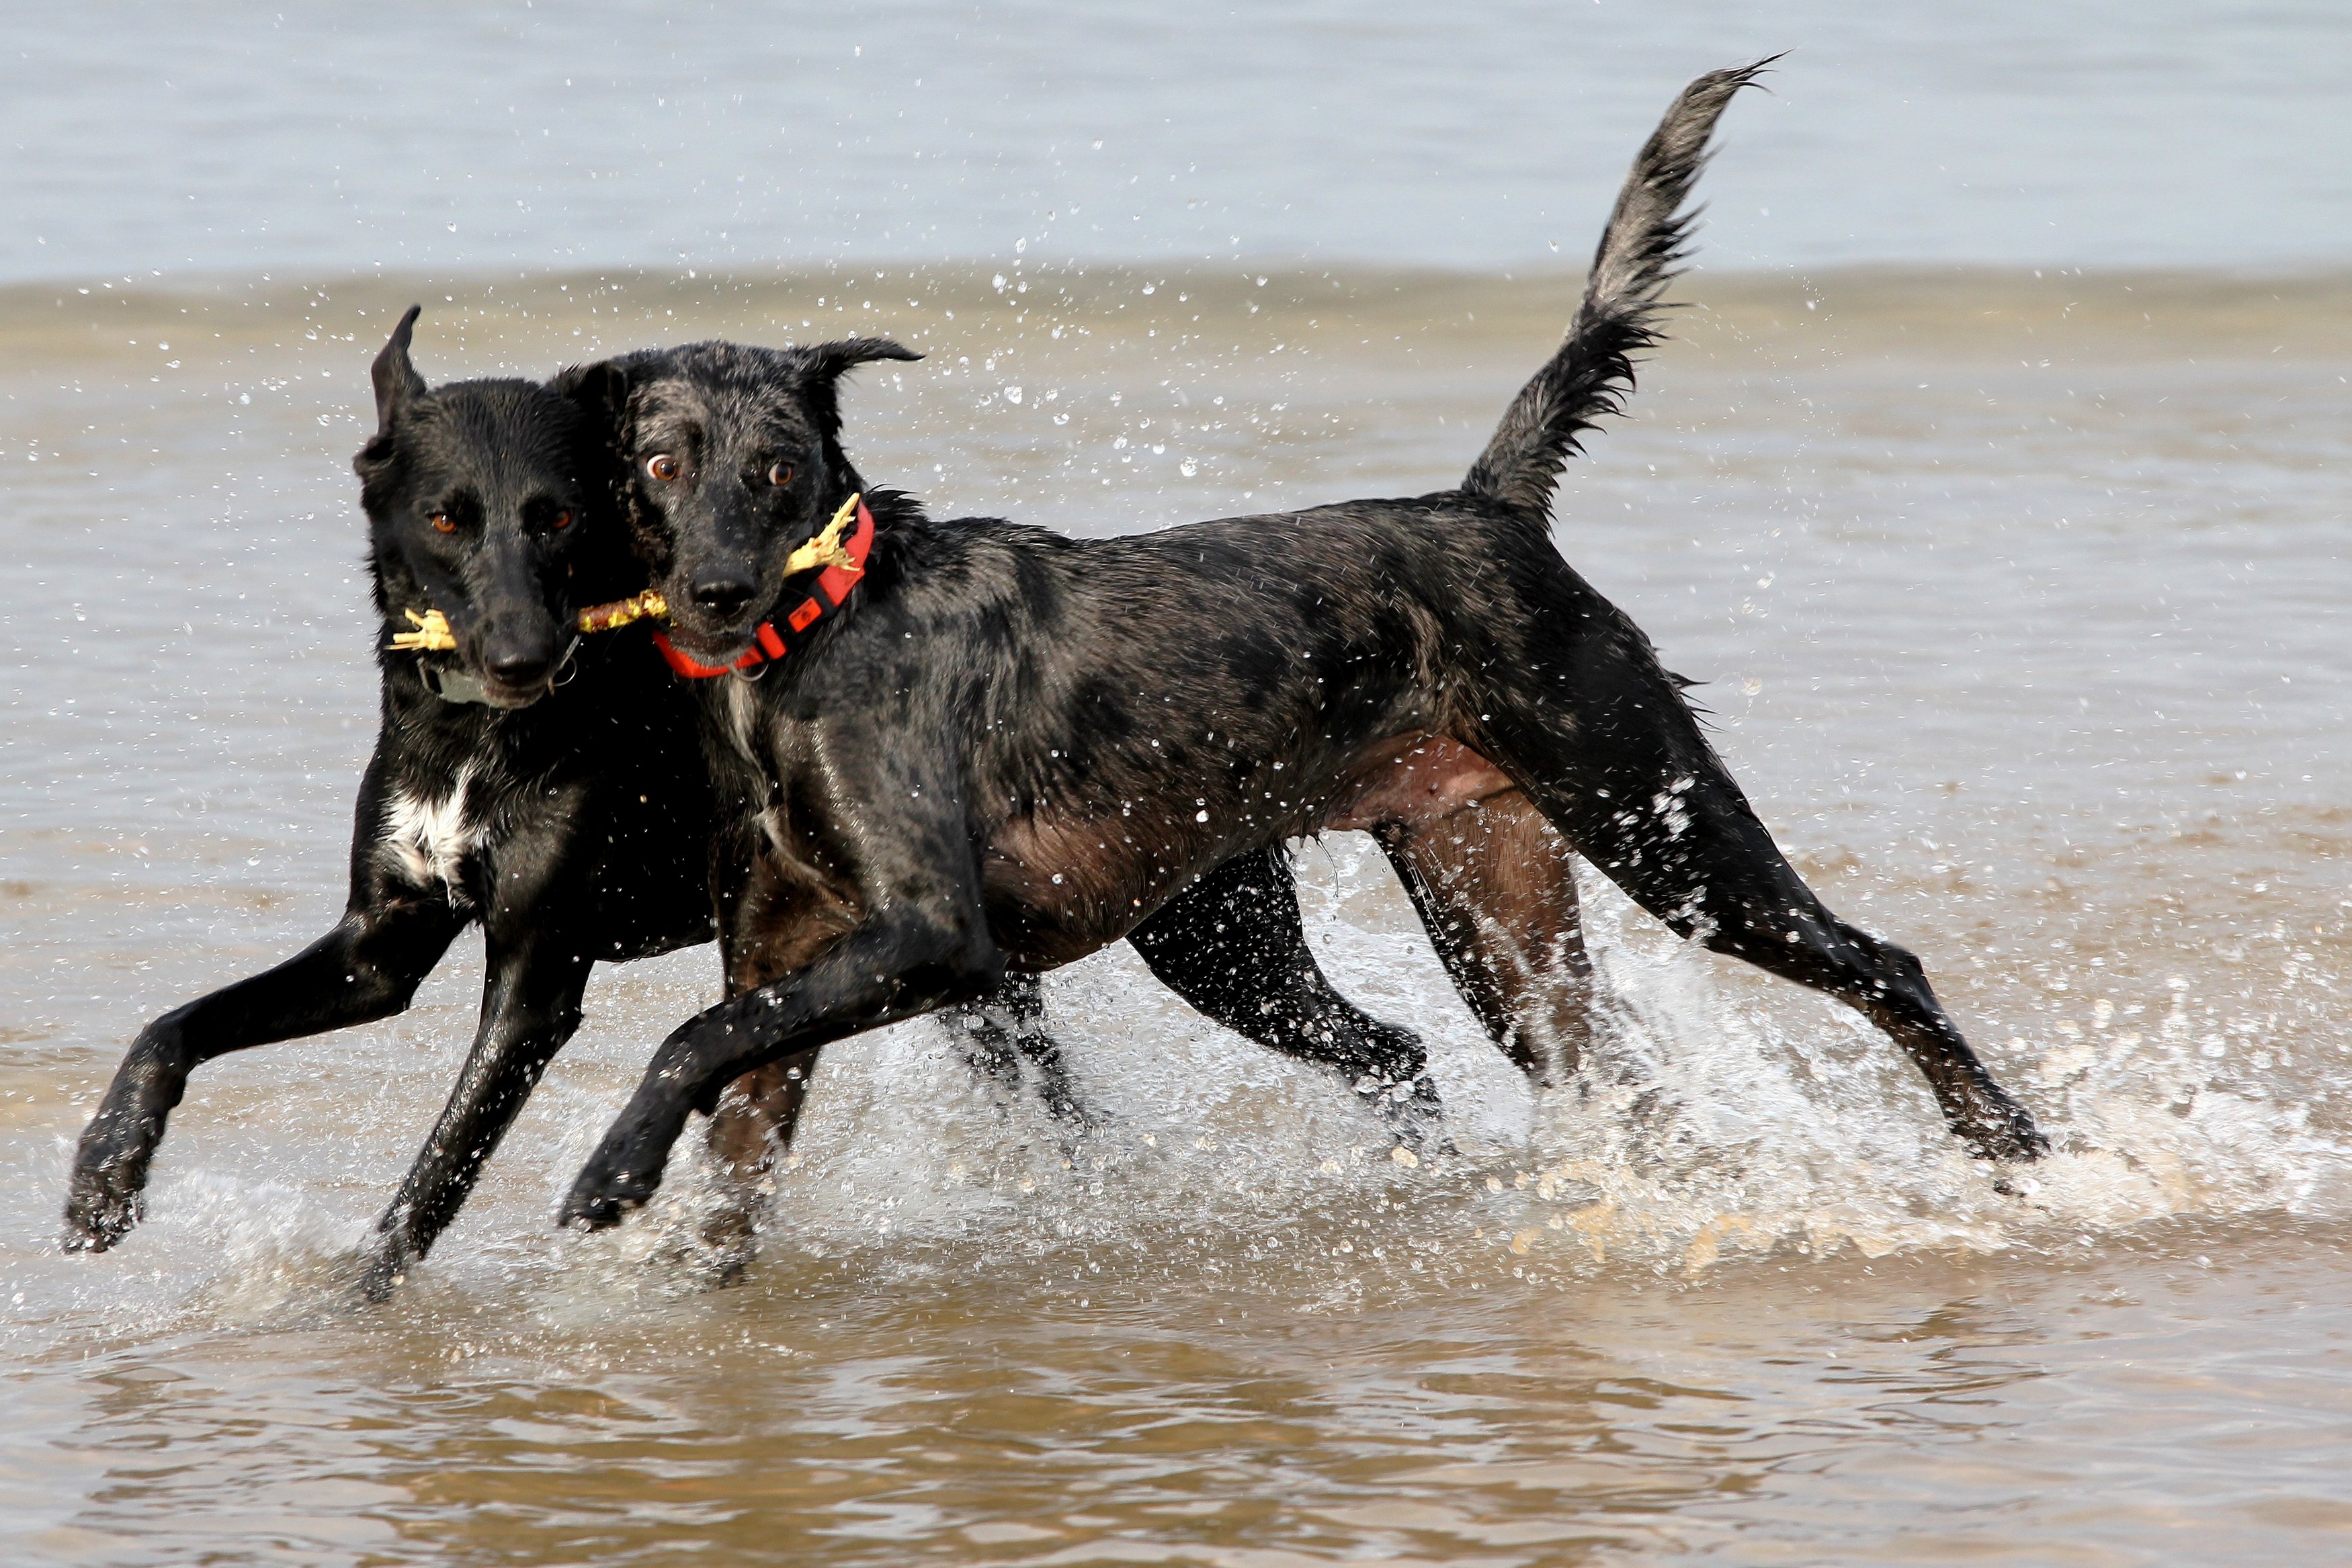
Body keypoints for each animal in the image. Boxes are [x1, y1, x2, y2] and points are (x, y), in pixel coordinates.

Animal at [59, 312, 1430, 1297]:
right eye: (448, 518)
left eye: (558, 516)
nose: (523, 655)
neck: (475, 736)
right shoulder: (377, 950)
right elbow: (170, 1027)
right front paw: (102, 1179)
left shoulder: (536, 987)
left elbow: (437, 1173)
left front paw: (359, 1300)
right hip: (1046, 972)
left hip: (1206, 938)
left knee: (1375, 1049)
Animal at [546, 64, 2042, 1241]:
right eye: (662, 466)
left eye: (780, 468)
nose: (720, 592)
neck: (810, 650)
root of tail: (1486, 507)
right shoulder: (789, 961)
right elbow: (733, 1111)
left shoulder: (931, 940)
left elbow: (690, 1037)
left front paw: (611, 1175)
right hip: (1462, 909)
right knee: (1523, 1062)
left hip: (1649, 823)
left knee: (1881, 964)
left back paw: (2017, 1153)